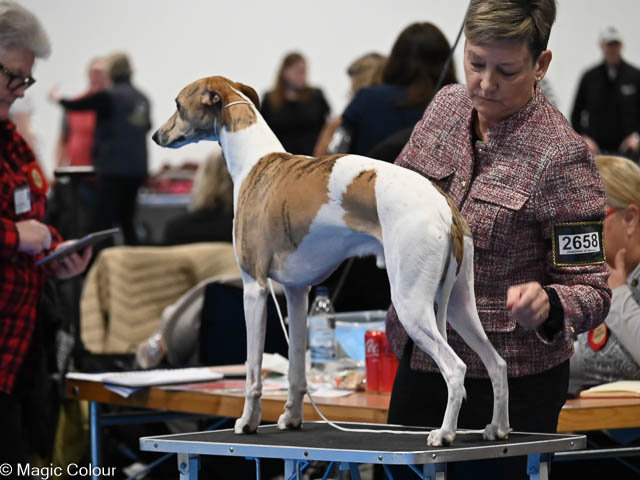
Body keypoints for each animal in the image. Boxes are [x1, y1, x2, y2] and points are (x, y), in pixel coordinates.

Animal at [153, 76, 510, 446]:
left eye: (178, 104)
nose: (156, 136)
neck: (255, 161)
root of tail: (443, 204)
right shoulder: (297, 292)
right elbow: (296, 368)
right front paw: (291, 418)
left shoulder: (254, 289)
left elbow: (252, 371)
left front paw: (248, 421)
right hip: (460, 304)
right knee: (497, 363)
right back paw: (496, 428)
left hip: (412, 304)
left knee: (456, 369)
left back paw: (444, 433)